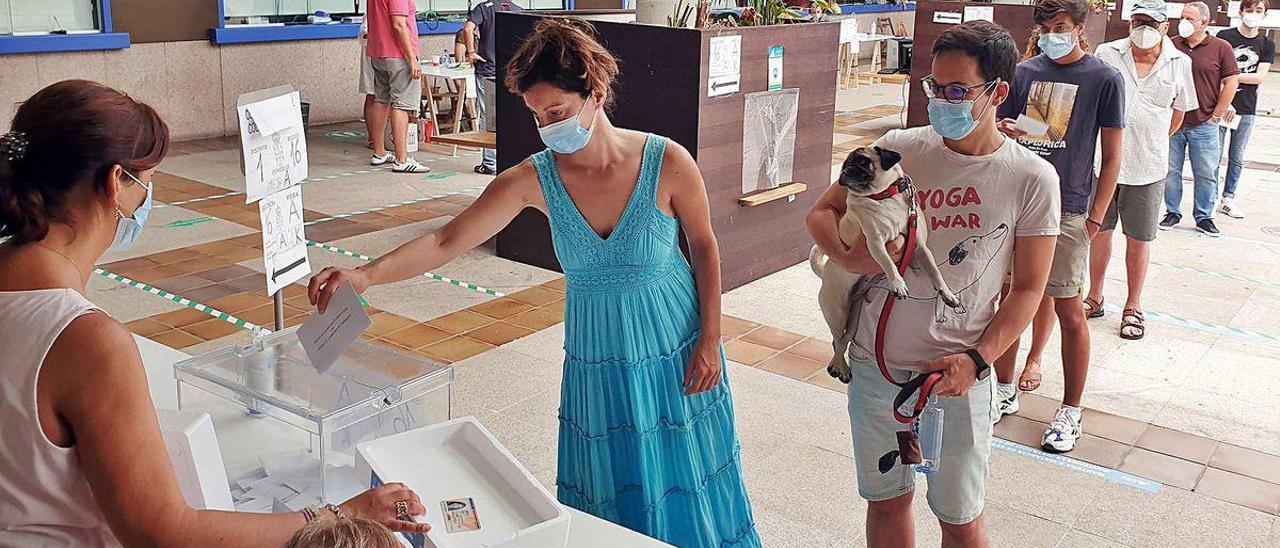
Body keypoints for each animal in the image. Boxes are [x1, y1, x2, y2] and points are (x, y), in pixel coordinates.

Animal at [808, 147, 962, 384]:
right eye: (846, 163)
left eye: (863, 162)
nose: (846, 169)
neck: (884, 196)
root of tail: (824, 271)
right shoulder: (876, 243)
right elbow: (889, 264)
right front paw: (898, 284)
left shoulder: (919, 247)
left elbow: (935, 271)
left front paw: (947, 293)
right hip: (837, 311)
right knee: (837, 340)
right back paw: (839, 366)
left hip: (855, 313)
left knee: (845, 337)